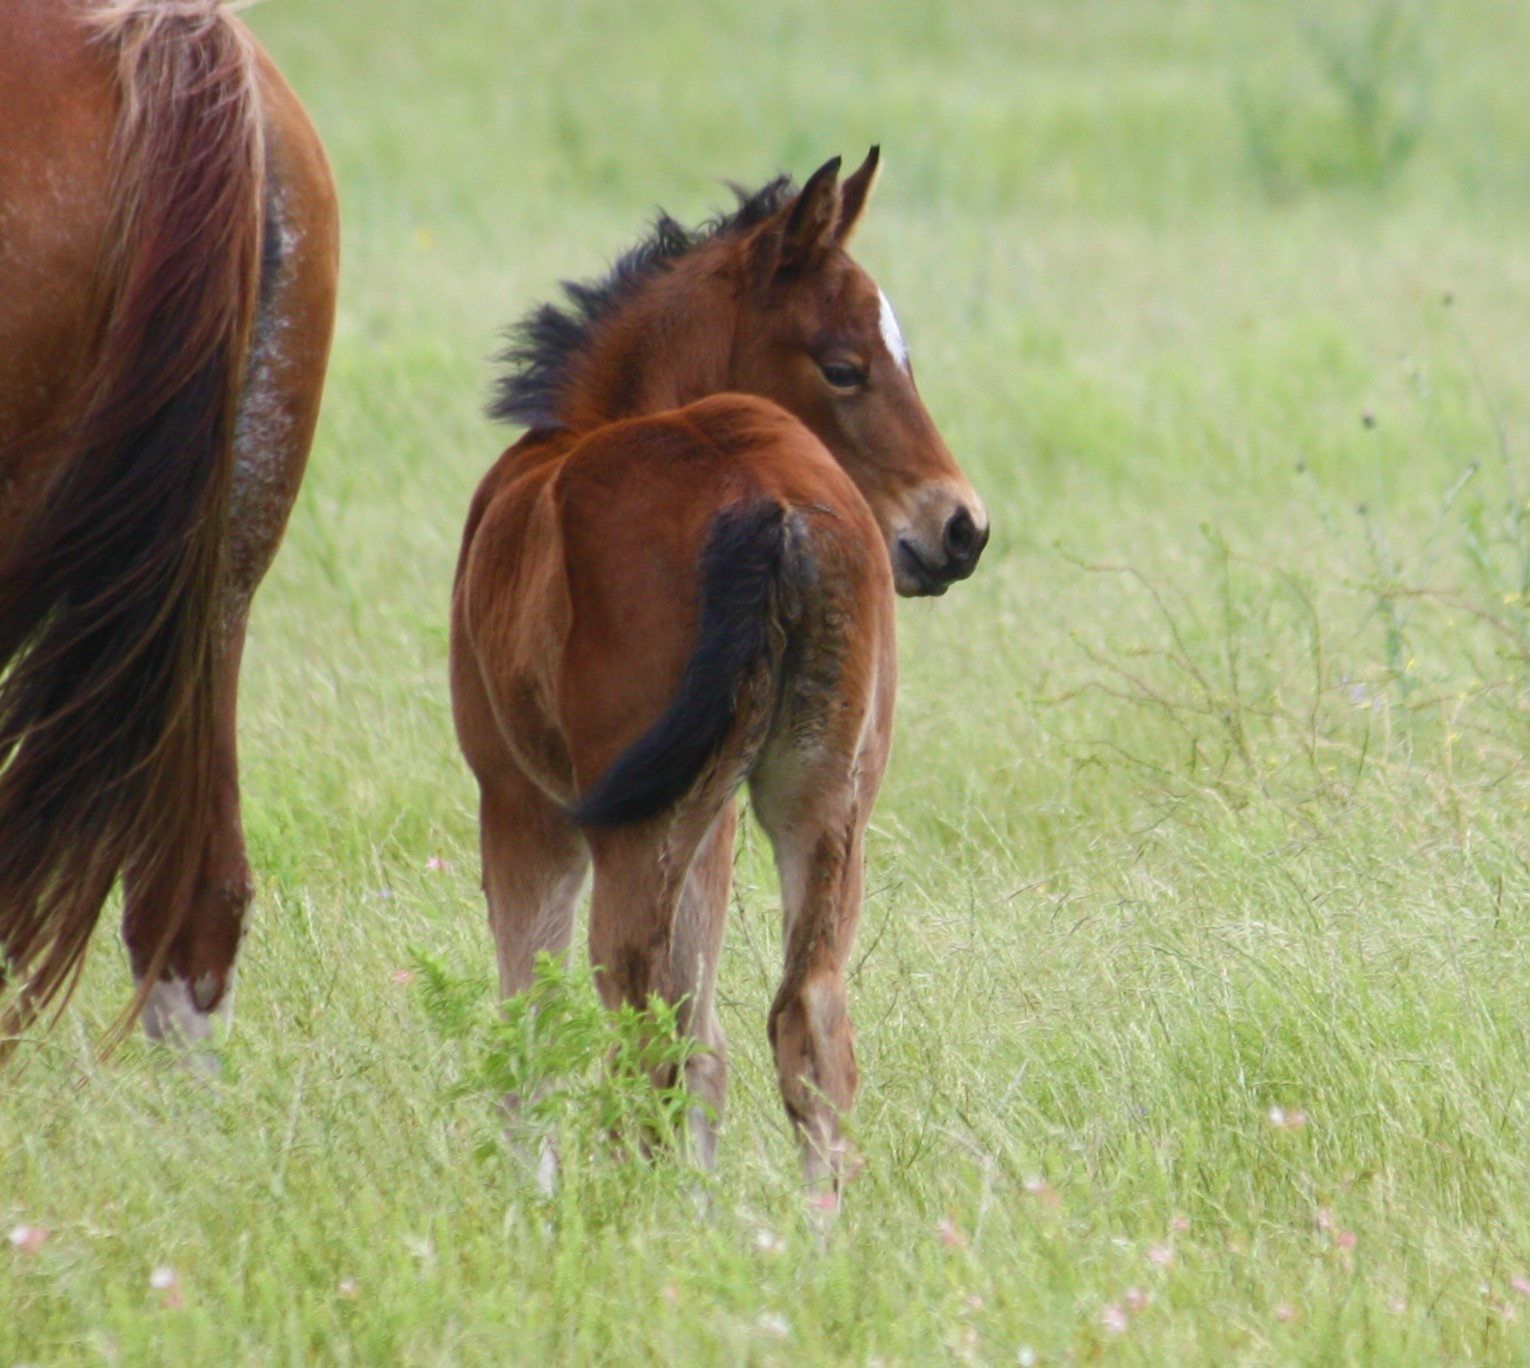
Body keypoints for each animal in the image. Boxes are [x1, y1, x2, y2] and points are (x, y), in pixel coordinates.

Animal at [450, 148, 988, 1185]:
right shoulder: (724, 820)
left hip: (634, 825)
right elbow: (713, 1049)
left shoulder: (519, 803)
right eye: (845, 366)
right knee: (807, 1023)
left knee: (642, 1028)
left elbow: (530, 1038)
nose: (961, 529)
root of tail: (767, 500)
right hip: (824, 797)